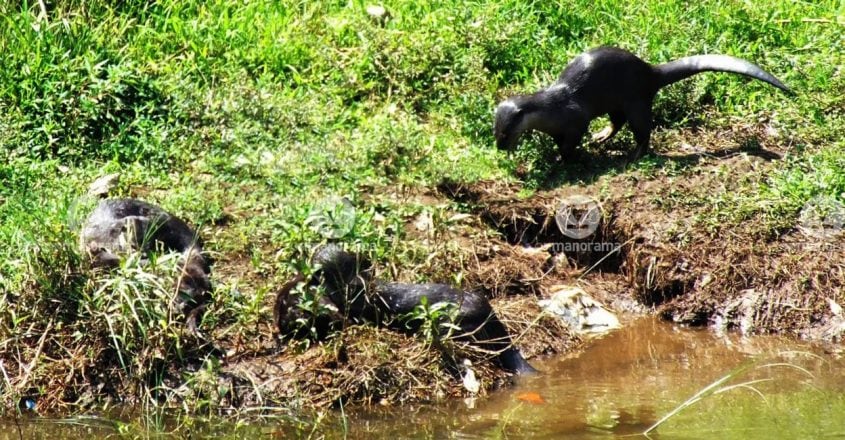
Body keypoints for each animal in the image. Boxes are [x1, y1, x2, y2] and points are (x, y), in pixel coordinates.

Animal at [494, 46, 792, 158]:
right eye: (495, 132)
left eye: (506, 134)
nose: (499, 148)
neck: (551, 108)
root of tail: (650, 72)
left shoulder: (575, 118)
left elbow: (572, 140)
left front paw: (561, 156)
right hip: (619, 102)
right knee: (617, 122)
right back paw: (601, 137)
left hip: (636, 101)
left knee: (642, 130)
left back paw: (635, 154)